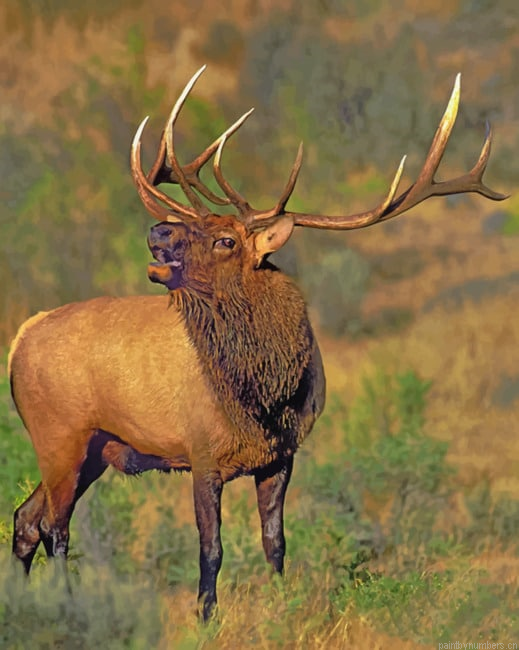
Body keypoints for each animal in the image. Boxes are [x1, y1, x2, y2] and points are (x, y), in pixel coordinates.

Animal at [8, 67, 507, 620]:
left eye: (225, 239)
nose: (157, 231)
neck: (266, 398)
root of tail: (20, 338)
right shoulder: (202, 454)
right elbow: (211, 551)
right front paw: (206, 618)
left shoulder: (281, 456)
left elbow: (276, 543)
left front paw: (281, 606)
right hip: (59, 434)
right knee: (54, 526)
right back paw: (67, 608)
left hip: (93, 448)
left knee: (26, 520)